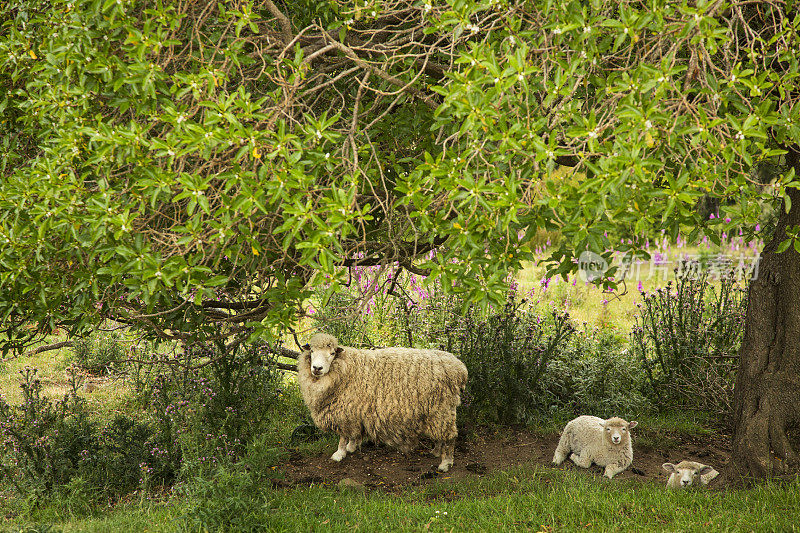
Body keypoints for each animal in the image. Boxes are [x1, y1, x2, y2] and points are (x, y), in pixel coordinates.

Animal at [296, 330, 468, 472]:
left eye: (332, 353)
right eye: (312, 351)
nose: (317, 368)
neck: (345, 368)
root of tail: (459, 369)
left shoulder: (344, 412)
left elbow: (343, 436)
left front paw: (339, 453)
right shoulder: (354, 411)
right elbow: (354, 433)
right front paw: (352, 446)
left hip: (442, 407)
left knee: (449, 437)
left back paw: (445, 463)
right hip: (436, 411)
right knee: (440, 434)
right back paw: (436, 451)